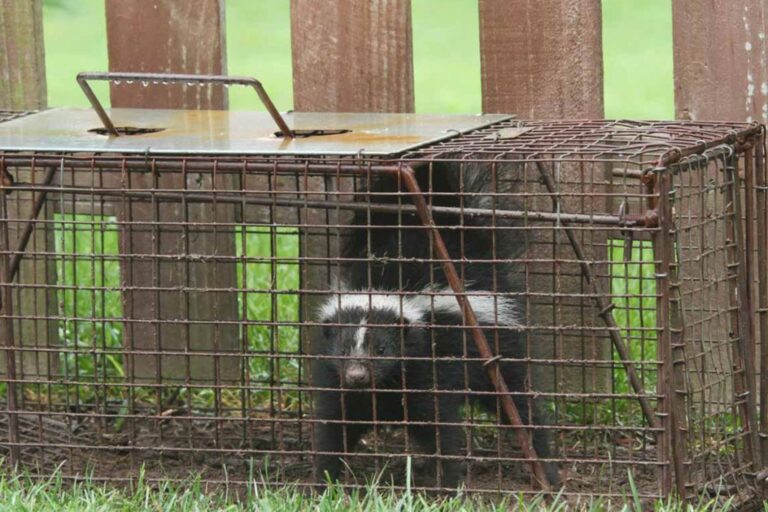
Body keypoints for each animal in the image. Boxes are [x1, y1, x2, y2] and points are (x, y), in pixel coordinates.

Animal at [310, 160, 560, 488]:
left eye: (382, 349)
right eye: (342, 350)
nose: (357, 375)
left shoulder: (429, 366)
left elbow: (439, 424)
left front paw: (449, 480)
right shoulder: (336, 380)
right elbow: (335, 425)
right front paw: (323, 479)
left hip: (498, 345)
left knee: (519, 402)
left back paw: (545, 467)